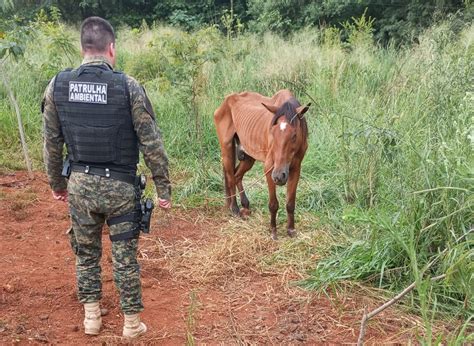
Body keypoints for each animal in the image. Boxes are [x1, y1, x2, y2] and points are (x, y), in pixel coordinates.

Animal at [213, 89, 310, 239]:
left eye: (294, 135)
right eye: (272, 133)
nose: (279, 176)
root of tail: (227, 100)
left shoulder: (295, 168)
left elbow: (290, 203)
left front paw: (290, 230)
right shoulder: (269, 168)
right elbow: (273, 204)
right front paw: (273, 231)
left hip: (248, 157)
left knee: (237, 175)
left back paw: (245, 205)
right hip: (227, 148)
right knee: (230, 177)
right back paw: (234, 209)